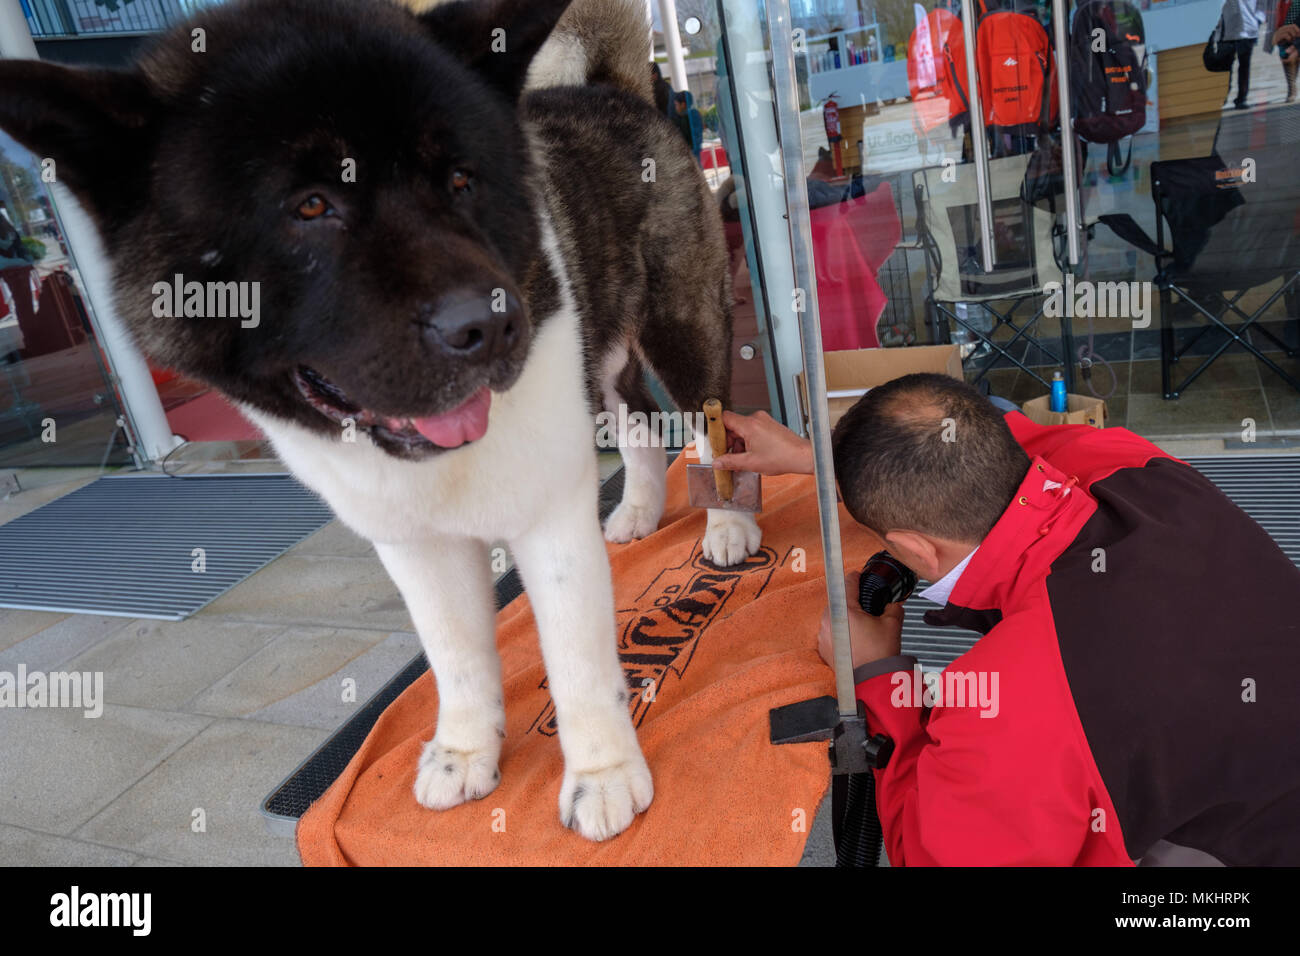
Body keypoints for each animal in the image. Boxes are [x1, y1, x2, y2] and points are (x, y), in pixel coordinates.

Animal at [0, 0, 759, 842]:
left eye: (462, 181)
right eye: (310, 206)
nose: (491, 327)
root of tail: (609, 91)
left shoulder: (549, 519)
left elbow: (577, 659)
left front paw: (601, 773)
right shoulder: (411, 544)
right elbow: (456, 654)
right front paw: (464, 752)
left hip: (680, 328)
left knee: (708, 422)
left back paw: (726, 524)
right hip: (602, 353)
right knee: (637, 422)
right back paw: (636, 510)